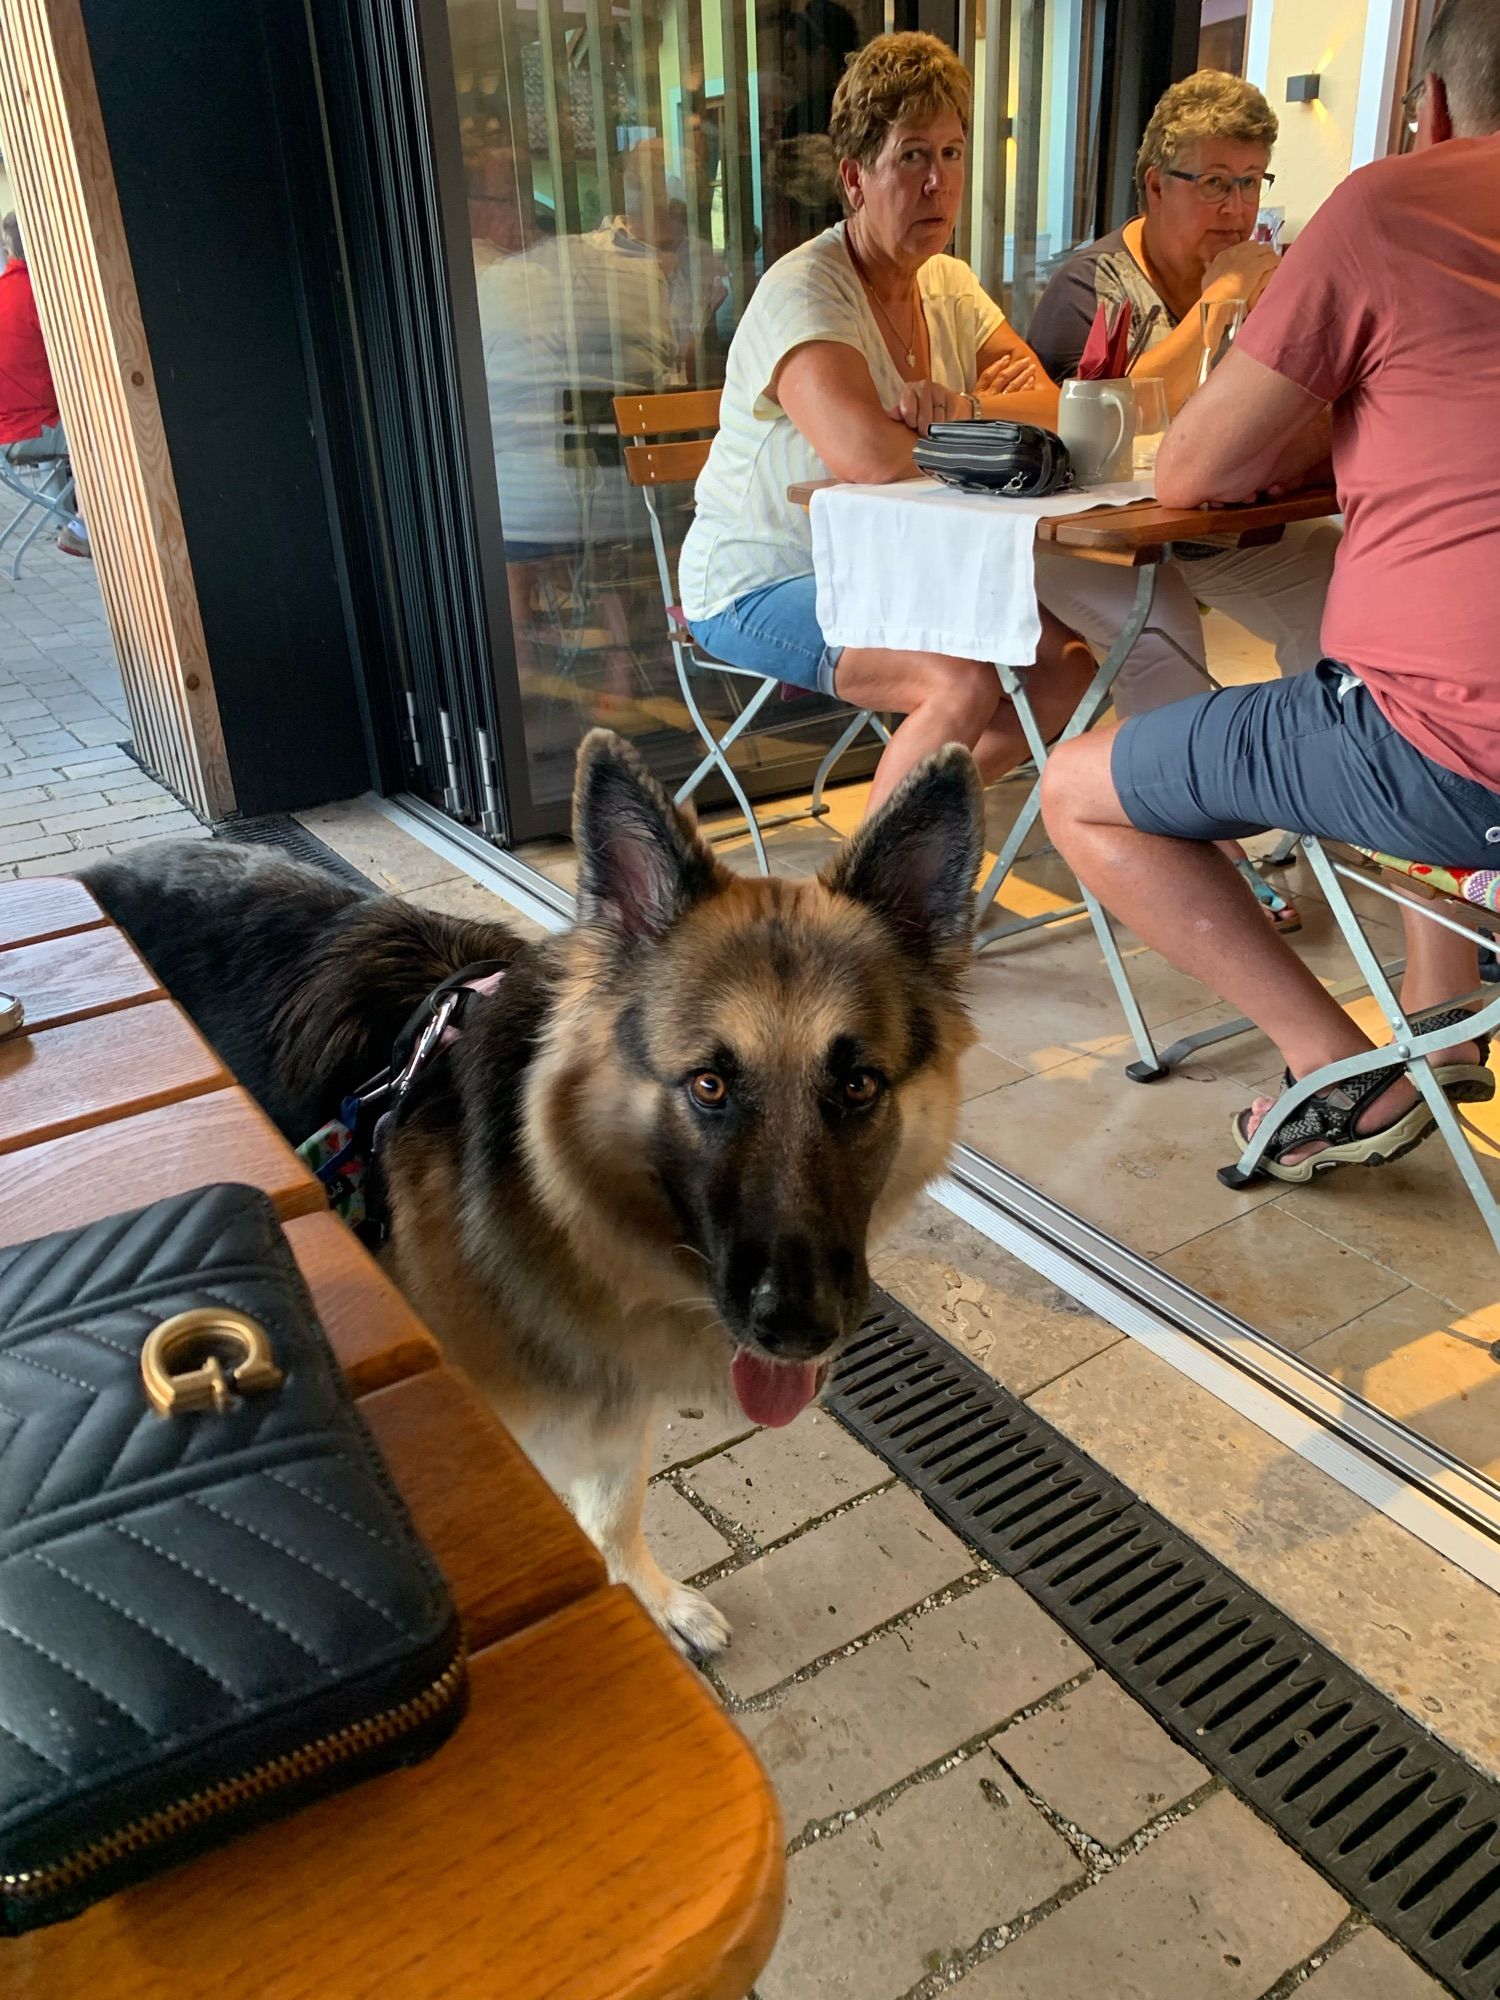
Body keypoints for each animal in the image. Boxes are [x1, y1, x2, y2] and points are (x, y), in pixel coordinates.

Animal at [91, 736, 988, 1656]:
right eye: (708, 1086)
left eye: (857, 1085)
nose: (800, 1329)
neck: (559, 1205)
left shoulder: (618, 1409)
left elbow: (615, 1510)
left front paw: (649, 1599)